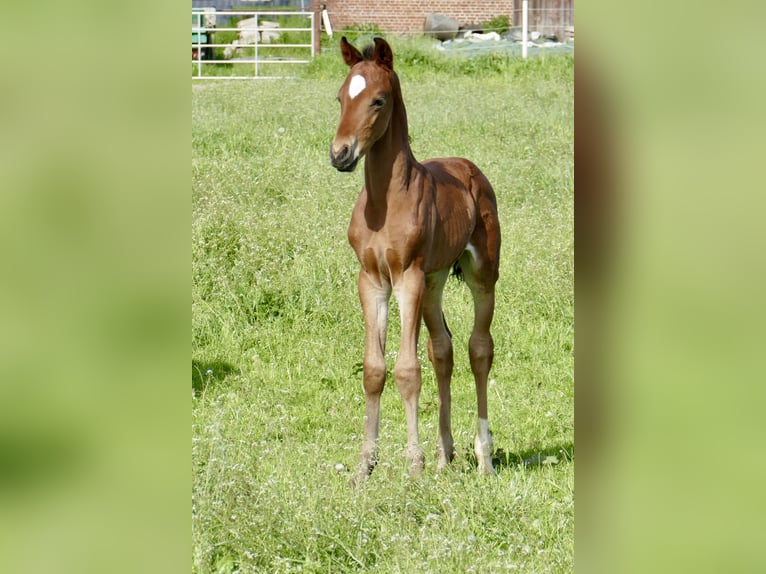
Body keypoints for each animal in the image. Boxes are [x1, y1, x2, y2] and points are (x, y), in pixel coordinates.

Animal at [330, 37, 501, 483]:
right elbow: (375, 369)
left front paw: (414, 465)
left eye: (378, 100)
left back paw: (484, 458)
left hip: (480, 275)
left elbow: (406, 370)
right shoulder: (372, 280)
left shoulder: (407, 278)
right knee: (442, 349)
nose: (340, 154)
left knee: (479, 348)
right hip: (435, 280)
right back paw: (445, 455)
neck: (385, 202)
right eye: (340, 97)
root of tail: (469, 167)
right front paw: (365, 467)